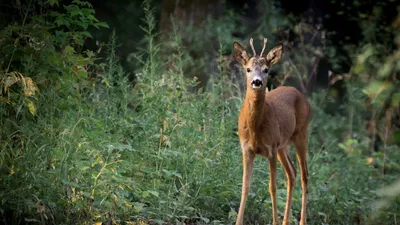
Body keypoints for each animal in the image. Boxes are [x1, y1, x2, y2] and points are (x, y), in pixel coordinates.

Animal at [231, 37, 312, 224]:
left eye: (266, 70)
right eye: (248, 69)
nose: (257, 81)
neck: (255, 130)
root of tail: (301, 95)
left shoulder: (271, 149)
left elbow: (272, 187)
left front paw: (274, 221)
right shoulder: (246, 149)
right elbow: (245, 186)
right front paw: (238, 221)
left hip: (301, 134)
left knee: (304, 175)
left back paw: (301, 221)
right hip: (283, 145)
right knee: (292, 173)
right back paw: (285, 221)